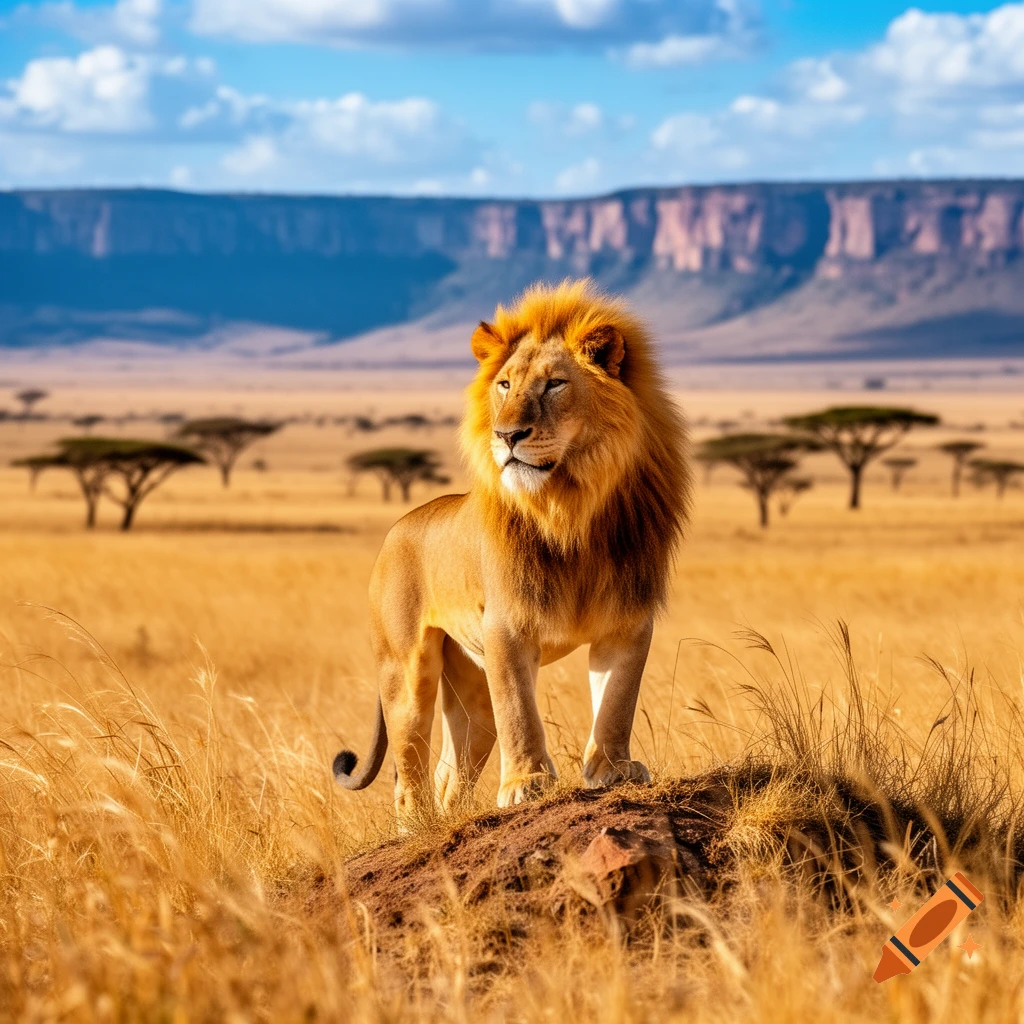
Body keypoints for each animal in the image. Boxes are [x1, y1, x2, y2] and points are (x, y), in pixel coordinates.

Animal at [333, 279, 691, 818]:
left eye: (555, 384)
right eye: (504, 385)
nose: (506, 434)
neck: (571, 510)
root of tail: (399, 526)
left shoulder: (627, 619)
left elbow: (617, 701)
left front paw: (612, 771)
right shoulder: (507, 624)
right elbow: (520, 711)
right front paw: (527, 783)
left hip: (471, 688)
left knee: (449, 775)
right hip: (405, 672)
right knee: (409, 777)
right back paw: (421, 826)